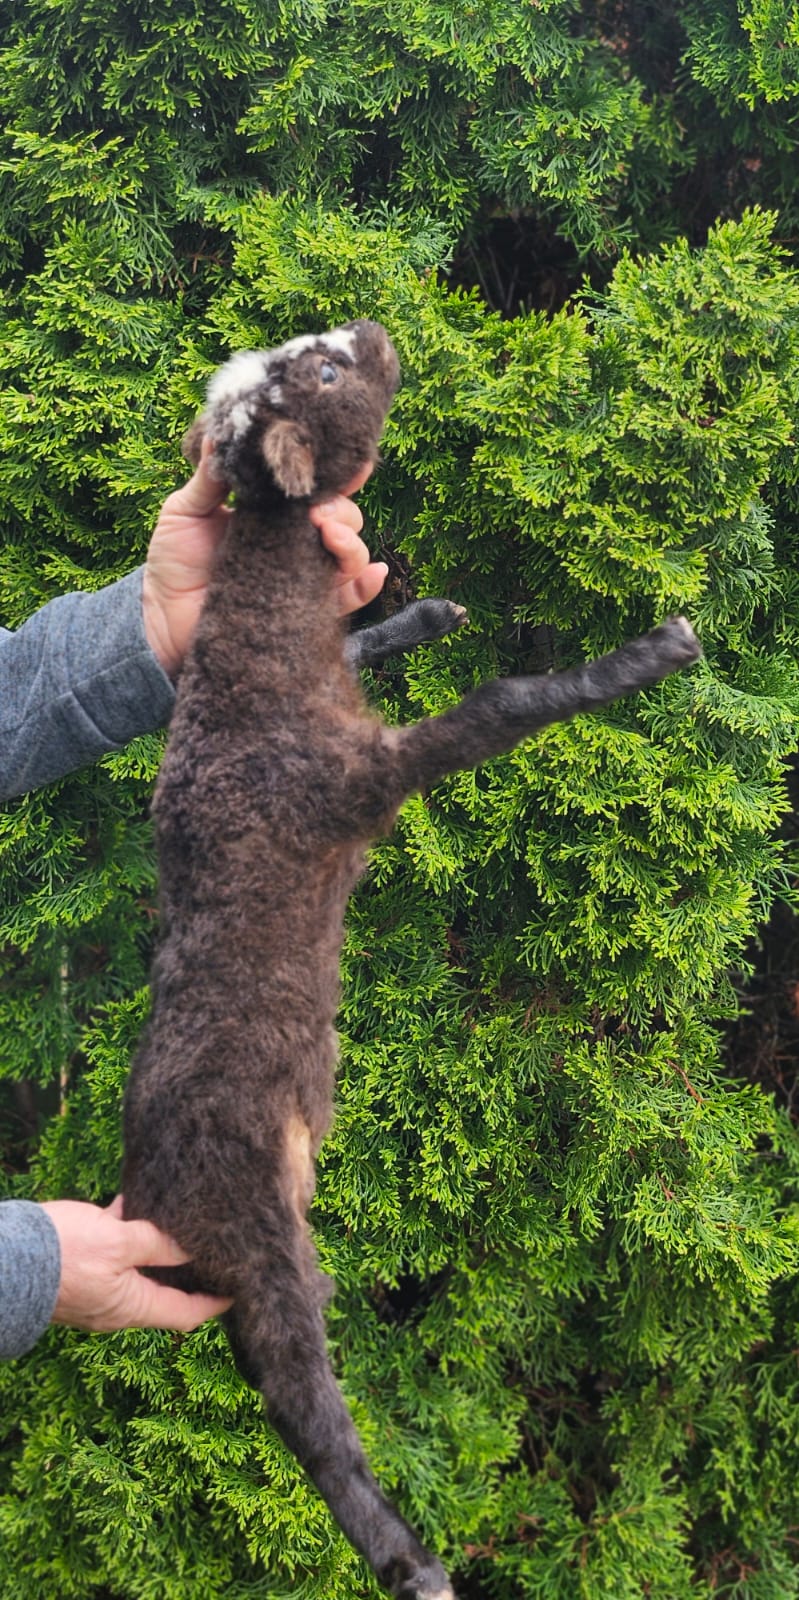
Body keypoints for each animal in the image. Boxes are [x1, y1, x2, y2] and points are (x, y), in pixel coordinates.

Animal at [121, 318, 701, 1600]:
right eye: (327, 371)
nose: (376, 329)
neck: (256, 663)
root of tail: (151, 1201)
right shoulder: (363, 774)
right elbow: (504, 703)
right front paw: (646, 654)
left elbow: (364, 632)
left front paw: (420, 611)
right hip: (263, 1247)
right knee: (307, 1409)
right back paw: (408, 1555)